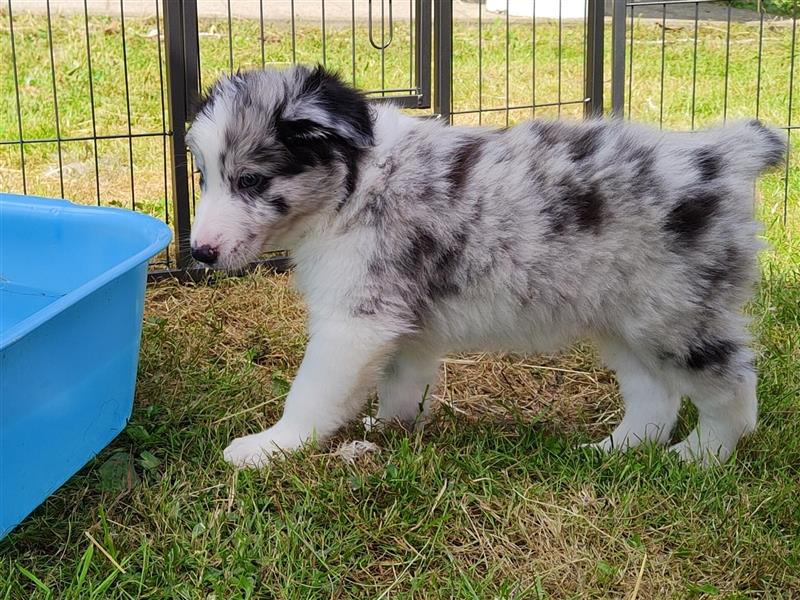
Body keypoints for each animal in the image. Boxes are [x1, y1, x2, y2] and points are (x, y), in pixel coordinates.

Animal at [189, 65, 788, 468]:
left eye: (251, 180)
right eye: (205, 178)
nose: (199, 253)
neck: (356, 184)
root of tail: (720, 156)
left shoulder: (354, 323)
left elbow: (313, 393)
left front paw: (272, 445)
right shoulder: (403, 327)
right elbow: (402, 384)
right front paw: (393, 428)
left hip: (678, 315)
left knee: (734, 388)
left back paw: (701, 456)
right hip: (625, 318)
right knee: (655, 397)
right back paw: (614, 451)